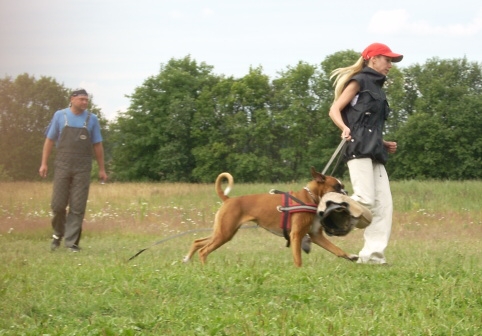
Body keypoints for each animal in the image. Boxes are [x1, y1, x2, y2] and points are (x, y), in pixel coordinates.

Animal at [184, 167, 358, 266]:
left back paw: (187, 260)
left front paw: (351, 256)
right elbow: (298, 258)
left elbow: (337, 250)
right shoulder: (296, 236)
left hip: (223, 232)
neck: (310, 197)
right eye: (336, 187)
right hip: (224, 233)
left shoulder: (316, 236)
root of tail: (228, 199)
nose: (346, 192)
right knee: (204, 250)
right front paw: (299, 272)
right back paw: (206, 269)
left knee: (198, 242)